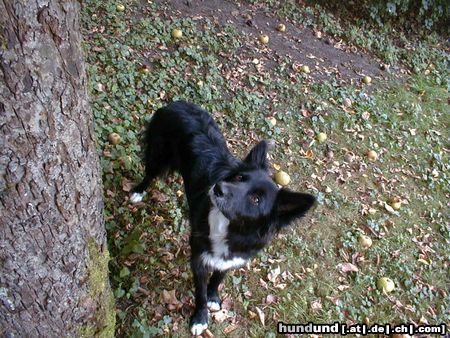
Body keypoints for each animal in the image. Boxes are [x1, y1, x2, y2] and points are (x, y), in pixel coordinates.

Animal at [129, 101, 312, 336]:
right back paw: (138, 192)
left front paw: (214, 297)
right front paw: (200, 317)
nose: (217, 188)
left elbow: (218, 278)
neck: (229, 227)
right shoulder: (199, 259)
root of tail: (176, 103)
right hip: (158, 155)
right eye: (240, 177)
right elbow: (199, 292)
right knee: (149, 173)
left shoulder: (232, 260)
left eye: (256, 199)